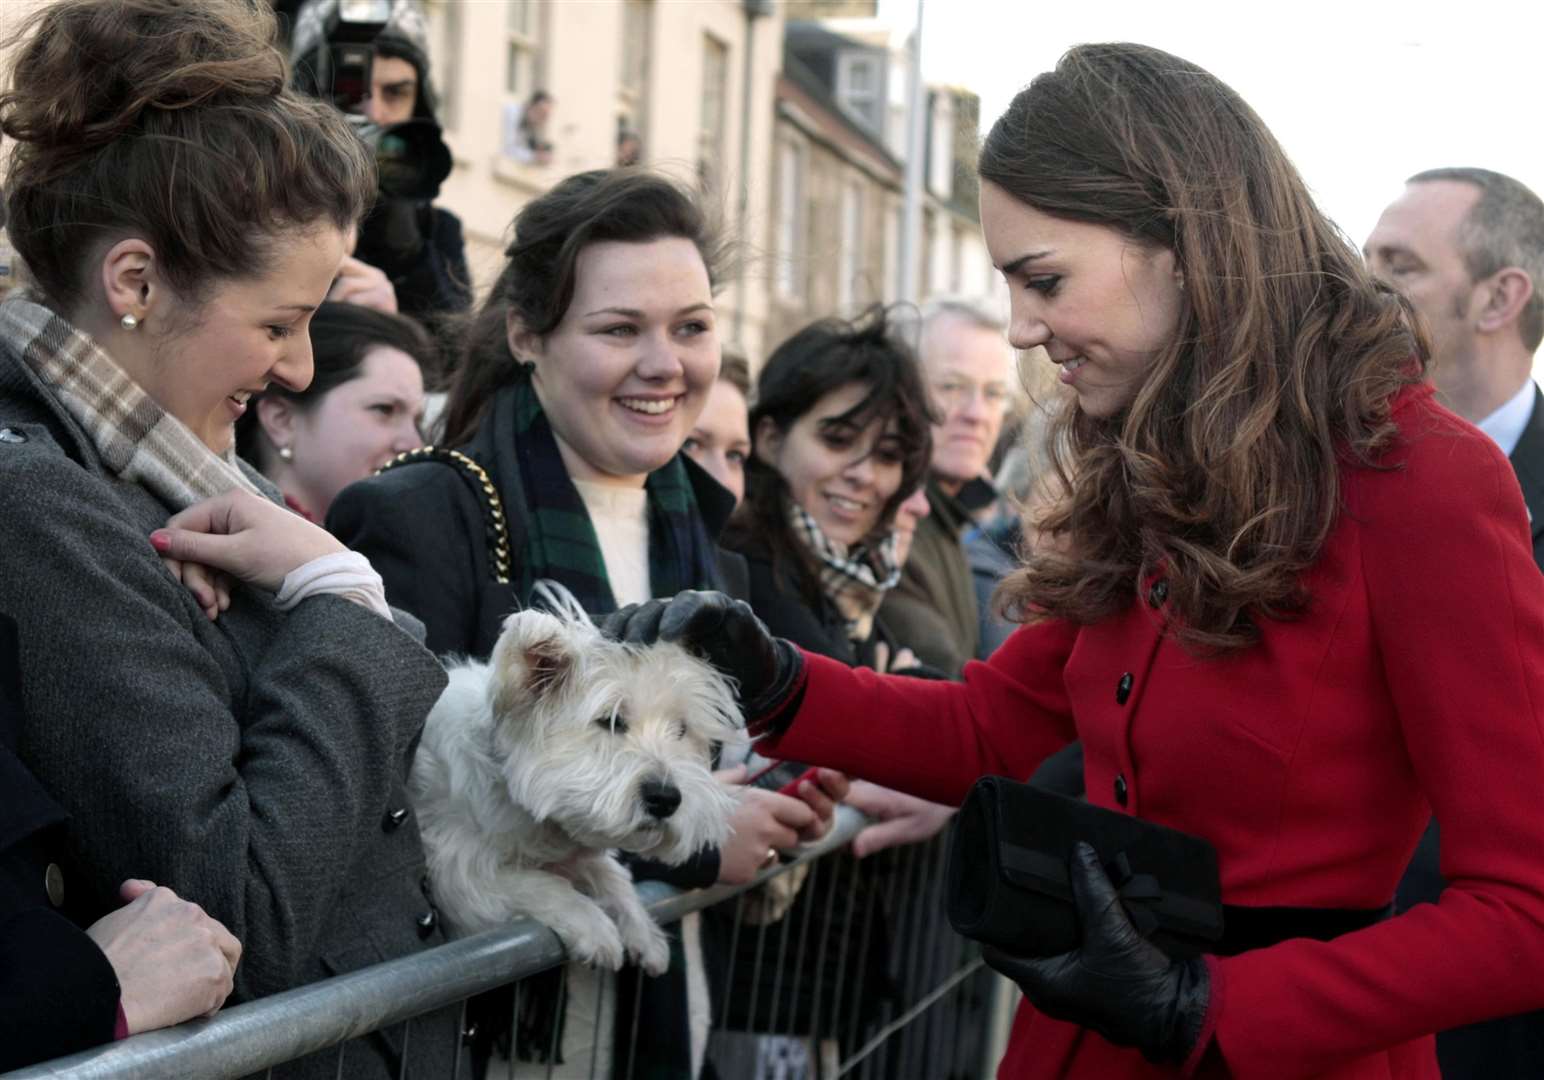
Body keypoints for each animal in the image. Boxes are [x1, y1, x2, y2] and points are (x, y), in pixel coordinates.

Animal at [410, 587, 747, 976]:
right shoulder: (456, 874)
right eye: (611, 720)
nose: (665, 799)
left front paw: (642, 930)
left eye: (680, 729)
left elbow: (609, 873)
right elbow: (536, 883)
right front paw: (595, 927)